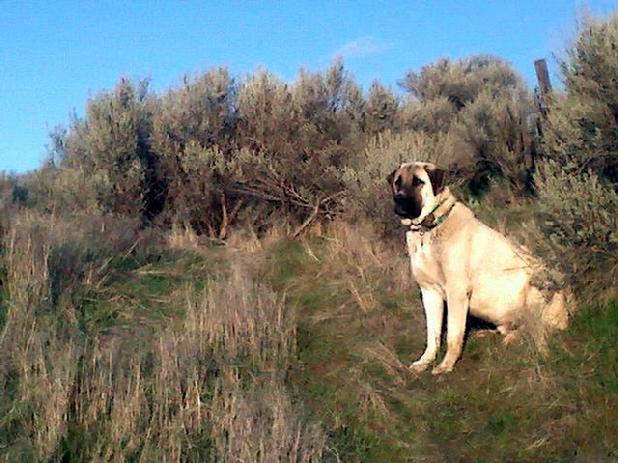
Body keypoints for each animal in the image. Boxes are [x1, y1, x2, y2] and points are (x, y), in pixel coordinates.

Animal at [388, 161, 564, 376]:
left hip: (534, 289)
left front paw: (446, 365)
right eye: (397, 182)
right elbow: (433, 335)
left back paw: (515, 338)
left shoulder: (457, 293)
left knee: (535, 328)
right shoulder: (429, 292)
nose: (398, 199)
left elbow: (453, 335)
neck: (427, 230)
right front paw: (425, 361)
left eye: (418, 182)